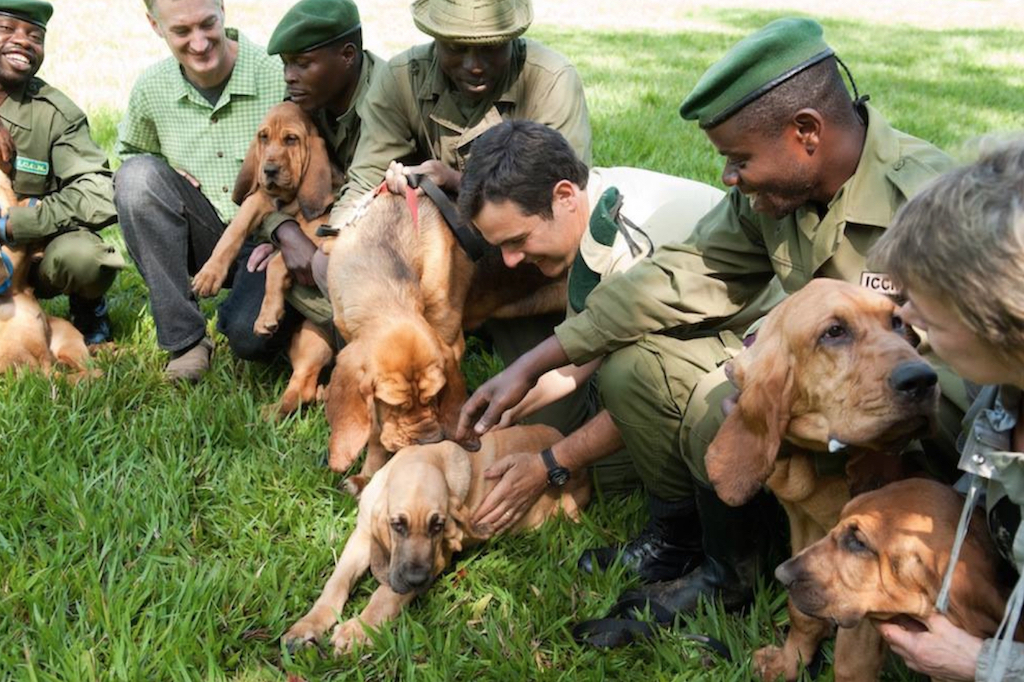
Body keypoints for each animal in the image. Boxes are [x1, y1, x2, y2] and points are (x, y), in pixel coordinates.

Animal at [190, 99, 337, 413]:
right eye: (263, 137)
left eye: (291, 140)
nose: (268, 169)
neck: (287, 200)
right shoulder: (258, 199)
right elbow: (233, 232)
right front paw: (209, 274)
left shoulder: (320, 229)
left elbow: (279, 261)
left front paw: (267, 315)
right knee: (301, 388)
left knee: (301, 390)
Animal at [282, 425, 593, 655]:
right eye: (398, 525)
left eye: (438, 526)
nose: (418, 580)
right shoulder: (362, 536)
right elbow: (336, 583)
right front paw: (308, 625)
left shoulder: (437, 558)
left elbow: (385, 596)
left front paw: (357, 630)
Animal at [708, 278, 937, 679]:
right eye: (834, 332)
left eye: (897, 323)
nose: (922, 379)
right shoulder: (803, 526)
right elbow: (800, 610)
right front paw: (791, 661)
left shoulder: (865, 581)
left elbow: (850, 659)